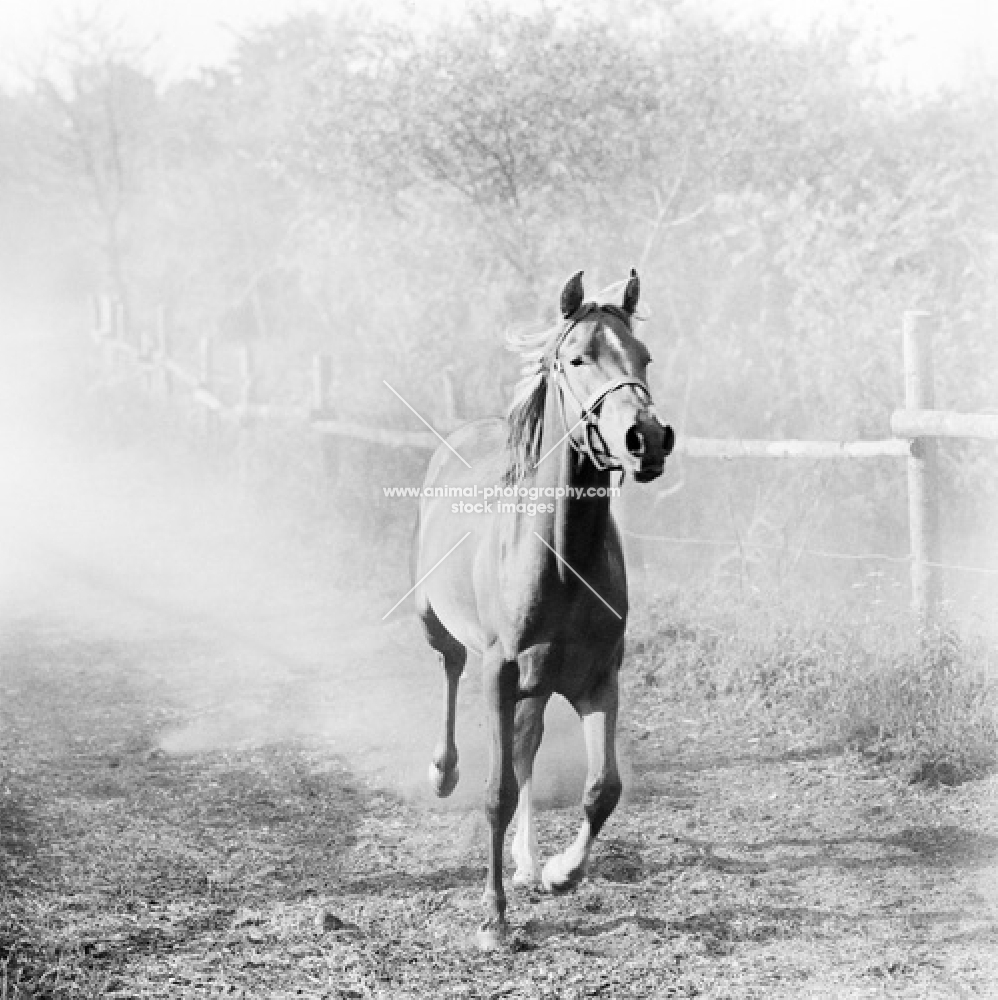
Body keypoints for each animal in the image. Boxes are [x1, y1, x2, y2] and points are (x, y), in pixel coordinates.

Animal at [410, 270, 676, 948]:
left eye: (644, 357)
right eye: (578, 358)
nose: (648, 438)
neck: (560, 557)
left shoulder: (597, 679)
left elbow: (603, 788)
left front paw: (559, 873)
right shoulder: (501, 673)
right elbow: (497, 792)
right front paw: (493, 918)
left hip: (538, 682)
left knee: (527, 744)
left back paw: (529, 863)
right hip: (437, 624)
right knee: (450, 665)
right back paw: (442, 771)